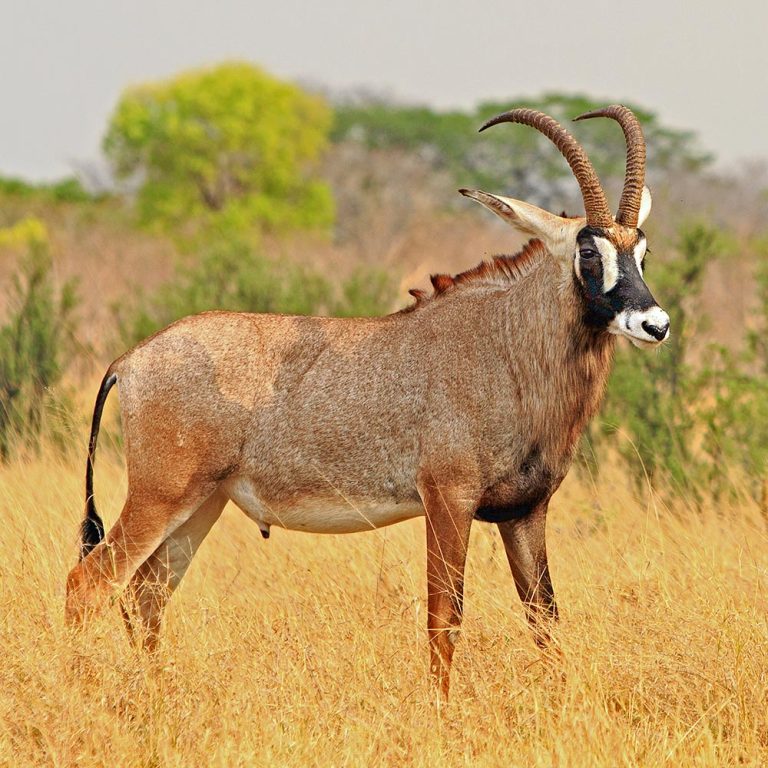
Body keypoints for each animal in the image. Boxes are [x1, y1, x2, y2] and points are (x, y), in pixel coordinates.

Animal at [65, 105, 669, 699]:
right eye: (588, 250)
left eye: (641, 250)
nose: (655, 324)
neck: (503, 344)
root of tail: (130, 360)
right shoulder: (448, 500)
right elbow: (445, 618)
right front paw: (441, 711)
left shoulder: (524, 511)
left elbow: (545, 619)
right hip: (161, 495)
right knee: (89, 583)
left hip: (202, 503)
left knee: (146, 593)